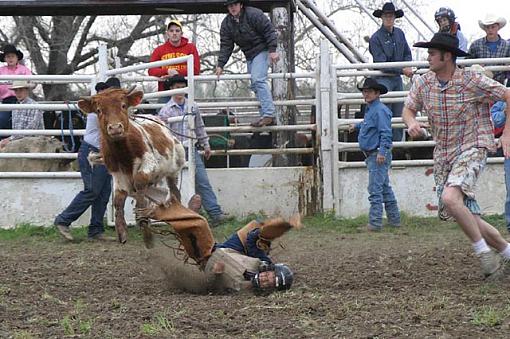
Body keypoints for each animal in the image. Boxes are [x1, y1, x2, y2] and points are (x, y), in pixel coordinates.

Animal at [77, 86, 185, 243]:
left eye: (123, 105)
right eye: (98, 110)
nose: (115, 128)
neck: (124, 154)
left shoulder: (149, 163)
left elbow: (139, 181)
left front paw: (141, 215)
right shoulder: (117, 174)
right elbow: (118, 199)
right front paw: (121, 229)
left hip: (173, 171)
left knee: (174, 192)